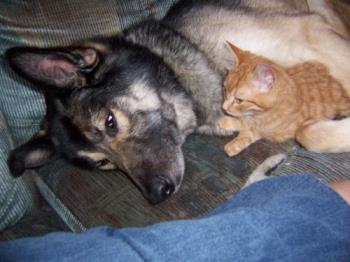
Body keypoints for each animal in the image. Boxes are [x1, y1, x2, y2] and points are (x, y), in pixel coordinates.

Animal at [217, 42, 350, 157]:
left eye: (239, 100)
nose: (224, 107)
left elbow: (253, 129)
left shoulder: (280, 130)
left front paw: (236, 140)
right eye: (225, 90)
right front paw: (230, 121)